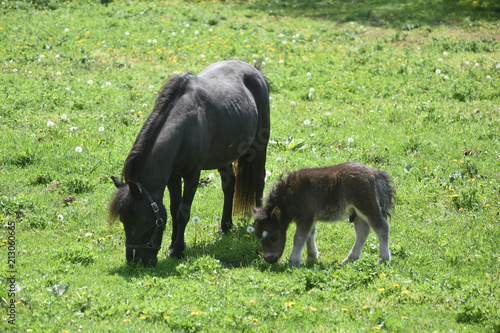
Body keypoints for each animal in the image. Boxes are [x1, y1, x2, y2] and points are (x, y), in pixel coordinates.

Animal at [109, 61, 270, 266]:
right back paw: (225, 226)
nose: (135, 260)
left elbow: (182, 212)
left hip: (260, 146)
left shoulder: (192, 175)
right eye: (123, 221)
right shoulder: (172, 175)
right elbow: (173, 209)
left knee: (258, 181)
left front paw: (178, 249)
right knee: (229, 185)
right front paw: (173, 243)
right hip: (223, 155)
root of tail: (255, 70)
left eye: (139, 221)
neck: (183, 128)